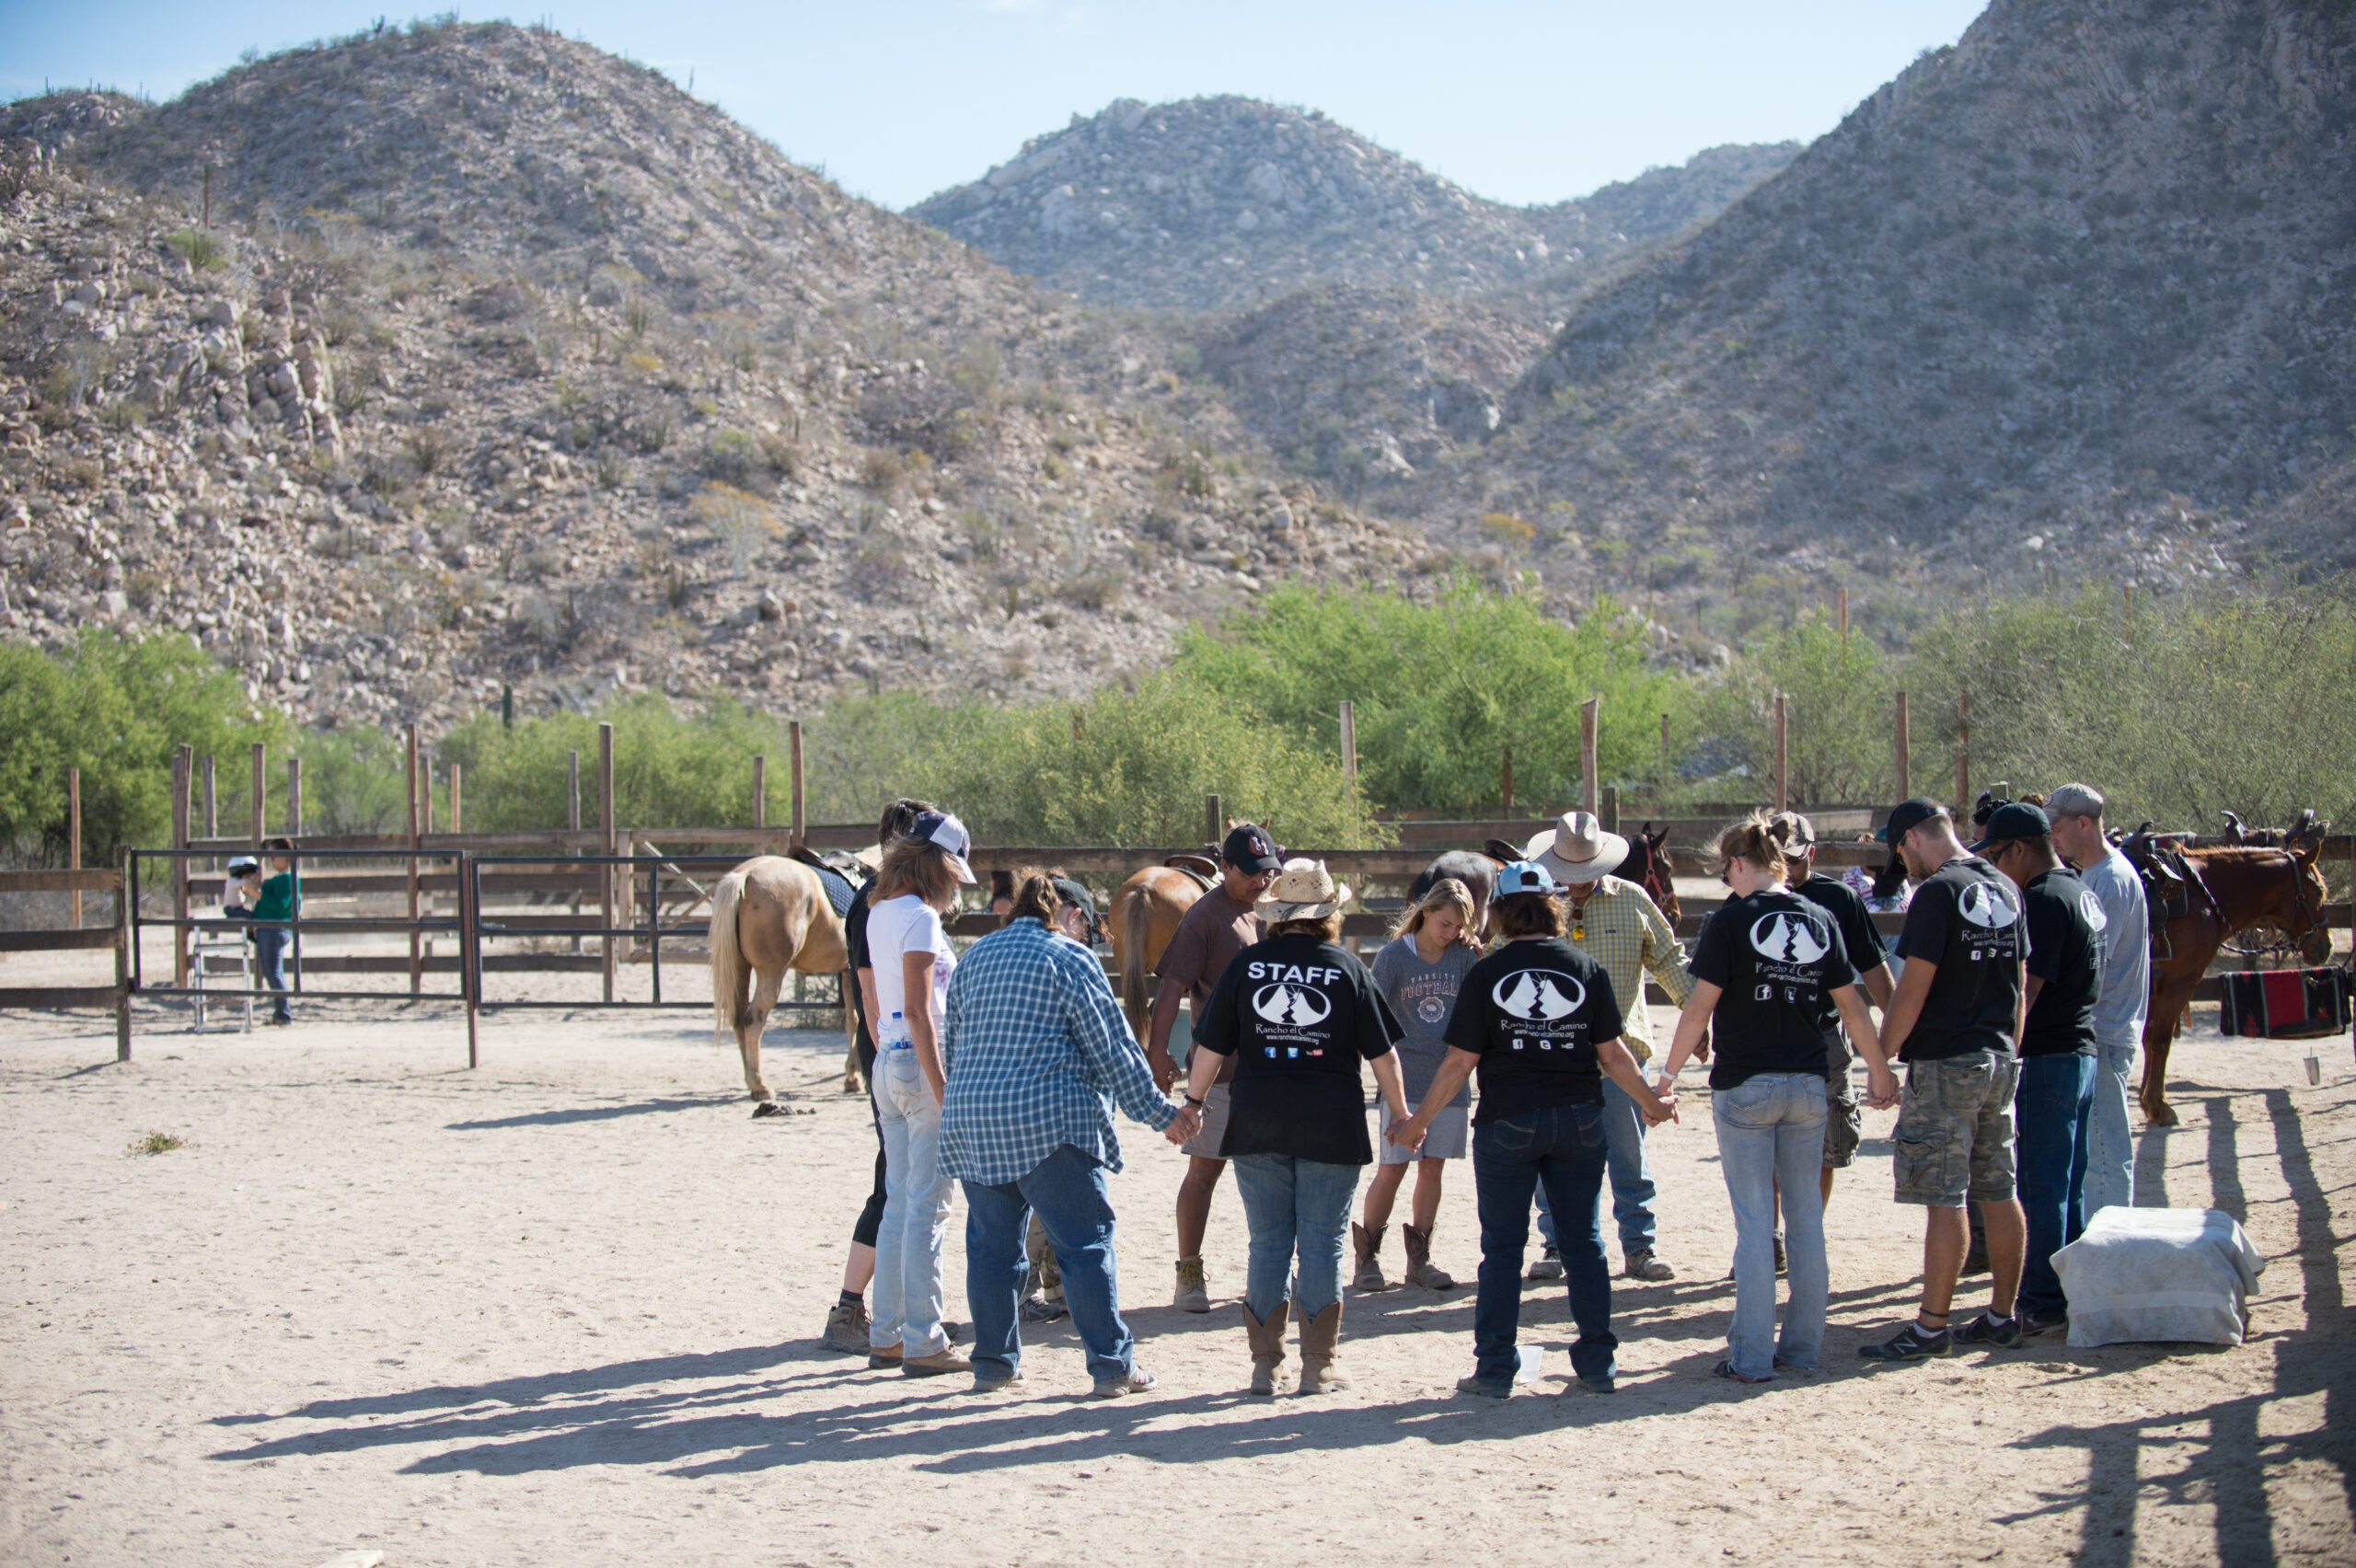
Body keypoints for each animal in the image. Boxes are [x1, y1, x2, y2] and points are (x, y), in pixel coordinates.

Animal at [707, 857, 857, 1097]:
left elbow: (853, 1021)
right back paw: (759, 1085)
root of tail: (744, 876)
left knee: (738, 1020)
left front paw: (852, 1077)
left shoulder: (846, 972)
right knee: (753, 1020)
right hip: (771, 973)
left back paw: (750, 1081)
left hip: (740, 969)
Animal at [2148, 842, 2327, 1124]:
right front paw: (2160, 1107)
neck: (2200, 896)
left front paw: (2148, 1104)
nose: (2326, 946)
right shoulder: (2177, 984)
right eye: (2319, 891)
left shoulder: (2155, 988)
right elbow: (2161, 1041)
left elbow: (2147, 1040)